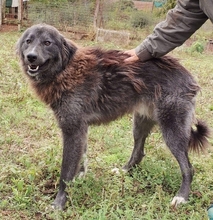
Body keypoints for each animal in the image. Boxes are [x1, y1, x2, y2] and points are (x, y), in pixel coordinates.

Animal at [16, 23, 210, 210]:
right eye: (28, 41)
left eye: (47, 43)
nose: (31, 57)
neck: (65, 69)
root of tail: (188, 76)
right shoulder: (81, 129)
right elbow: (81, 161)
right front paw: (79, 179)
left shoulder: (72, 130)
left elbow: (65, 172)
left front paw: (59, 203)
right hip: (139, 124)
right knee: (139, 153)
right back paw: (125, 171)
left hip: (172, 131)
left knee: (188, 168)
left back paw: (182, 197)